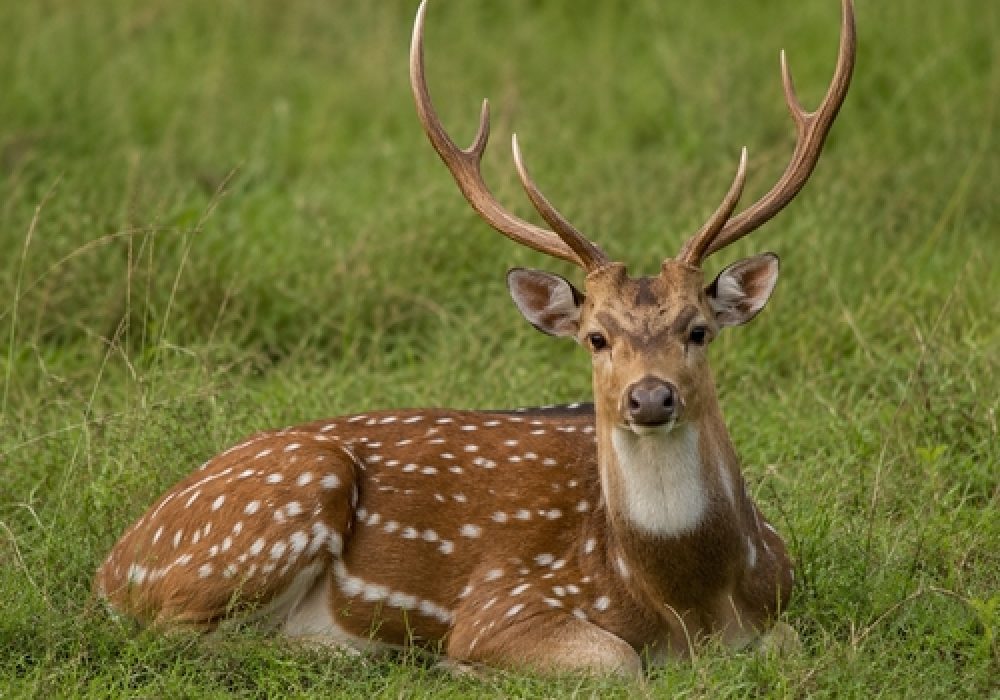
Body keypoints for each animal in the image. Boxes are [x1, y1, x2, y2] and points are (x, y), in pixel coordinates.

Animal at [94, 0, 855, 676]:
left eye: (698, 329)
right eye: (595, 337)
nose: (649, 398)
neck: (686, 602)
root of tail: (113, 564)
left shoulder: (780, 602)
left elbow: (791, 646)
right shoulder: (503, 600)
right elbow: (616, 661)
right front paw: (461, 666)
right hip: (282, 500)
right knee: (177, 634)